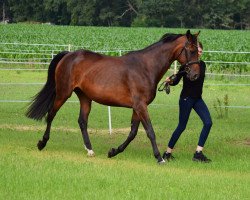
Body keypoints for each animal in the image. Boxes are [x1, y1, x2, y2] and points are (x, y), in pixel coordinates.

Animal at [26, 30, 200, 164]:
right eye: (191, 50)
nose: (196, 75)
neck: (146, 67)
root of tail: (69, 55)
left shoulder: (137, 108)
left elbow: (133, 133)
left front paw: (113, 151)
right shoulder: (141, 106)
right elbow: (150, 131)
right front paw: (159, 158)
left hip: (85, 97)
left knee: (82, 121)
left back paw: (90, 150)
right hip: (63, 93)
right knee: (51, 114)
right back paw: (42, 143)